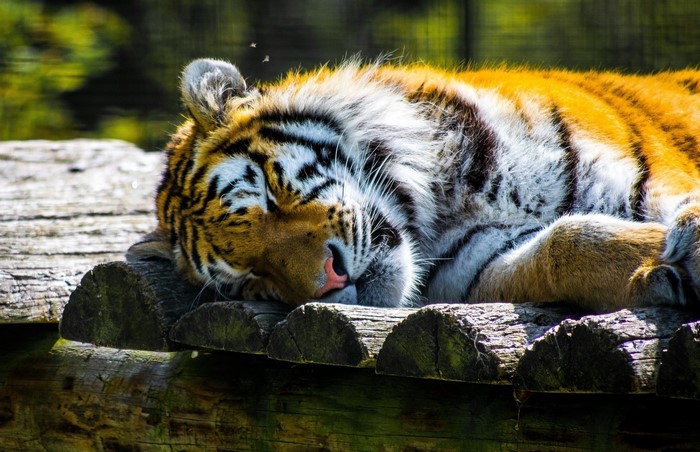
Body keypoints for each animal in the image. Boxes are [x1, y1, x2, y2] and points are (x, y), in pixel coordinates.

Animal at [127, 57, 700, 312]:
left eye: (270, 193)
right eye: (251, 279)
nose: (330, 282)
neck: (442, 203)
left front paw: (687, 244)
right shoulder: (484, 261)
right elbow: (566, 243)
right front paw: (653, 269)